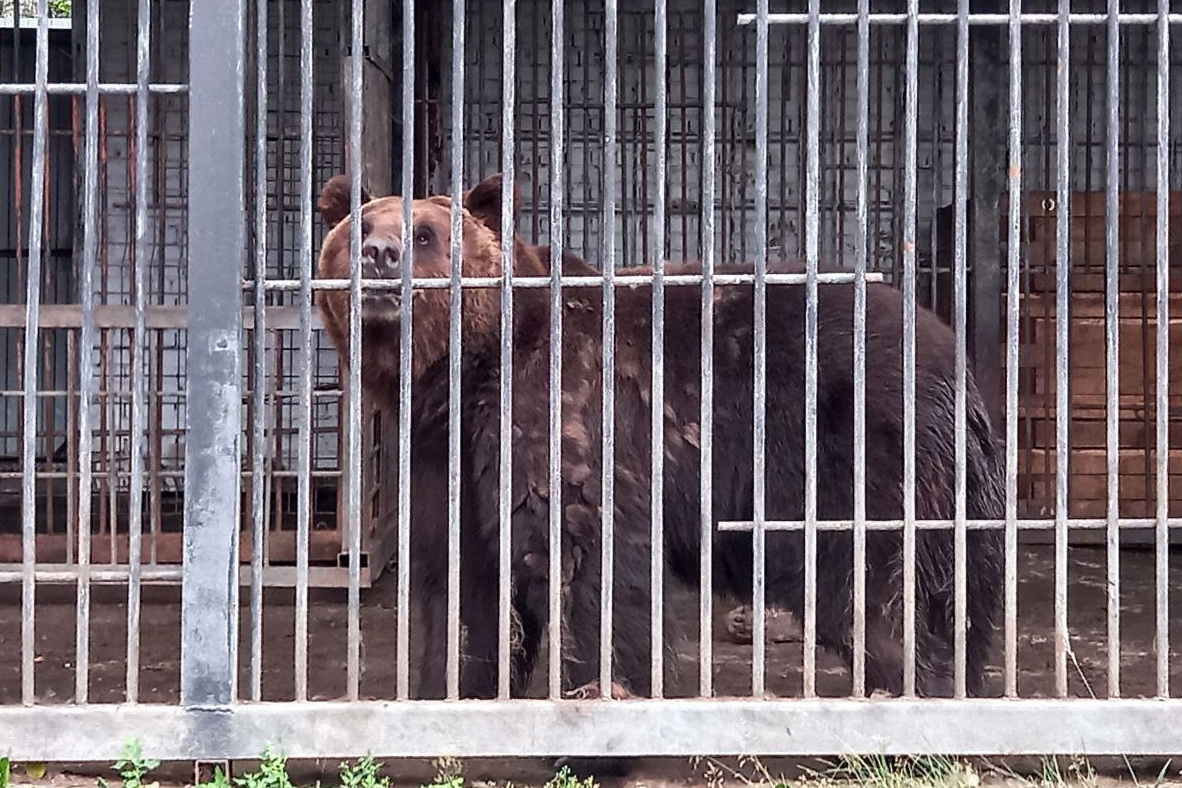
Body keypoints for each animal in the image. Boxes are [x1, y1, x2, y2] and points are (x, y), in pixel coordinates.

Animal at [316, 176, 1007, 713]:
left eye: (424, 233)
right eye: (359, 227)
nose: (380, 253)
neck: (468, 373)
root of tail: (957, 363)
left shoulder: (568, 411)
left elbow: (589, 558)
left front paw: (603, 692)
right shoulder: (446, 457)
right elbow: (461, 585)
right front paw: (451, 688)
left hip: (853, 452)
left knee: (870, 581)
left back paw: (918, 689)